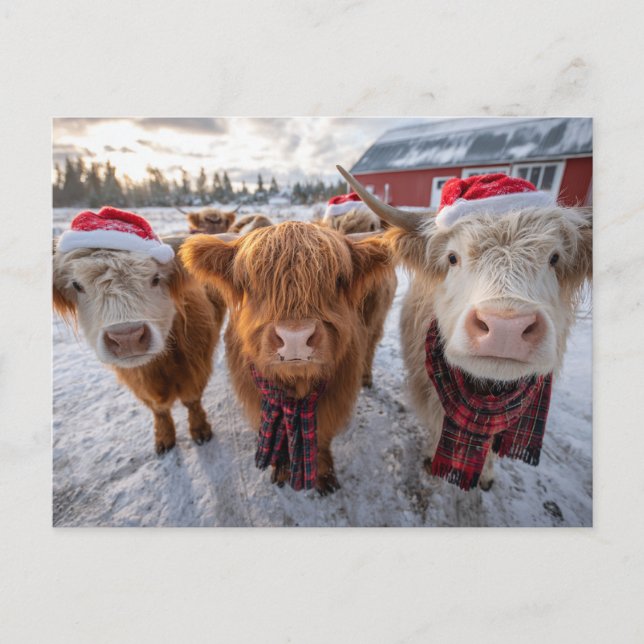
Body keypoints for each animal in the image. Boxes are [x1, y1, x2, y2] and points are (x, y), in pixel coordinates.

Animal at [53, 207, 226, 455]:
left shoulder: (196, 365)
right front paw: (164, 437)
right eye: (77, 285)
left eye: (156, 278)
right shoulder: (137, 380)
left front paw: (200, 430)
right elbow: (158, 408)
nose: (127, 338)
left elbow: (192, 399)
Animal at [179, 221, 395, 494]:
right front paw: (281, 471)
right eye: (249, 282)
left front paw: (325, 475)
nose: (295, 338)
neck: (295, 391)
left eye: (338, 279)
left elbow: (321, 438)